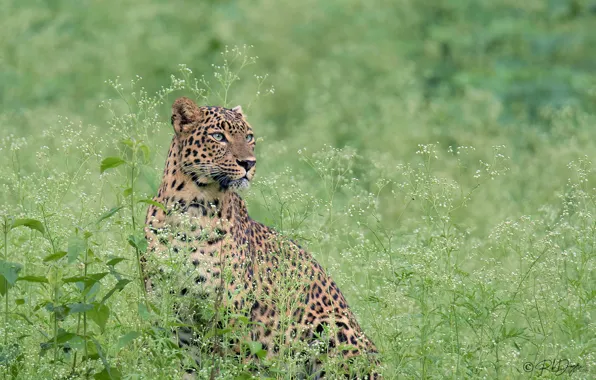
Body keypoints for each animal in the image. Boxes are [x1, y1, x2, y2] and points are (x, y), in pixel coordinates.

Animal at [142, 97, 380, 378]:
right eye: (218, 136)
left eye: (249, 136)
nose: (249, 163)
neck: (190, 209)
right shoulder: (171, 316)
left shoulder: (233, 319)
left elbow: (232, 367)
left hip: (333, 328)